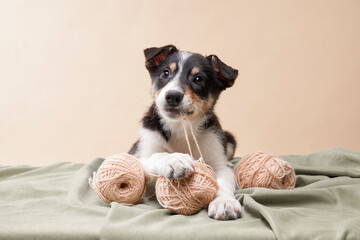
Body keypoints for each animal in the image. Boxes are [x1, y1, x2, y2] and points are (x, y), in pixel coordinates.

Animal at [129, 44, 242, 220]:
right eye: (165, 73)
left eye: (198, 79)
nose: (172, 96)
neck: (180, 127)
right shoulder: (139, 154)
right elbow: (156, 155)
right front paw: (174, 160)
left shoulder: (218, 159)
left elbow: (222, 183)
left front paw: (224, 202)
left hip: (229, 139)